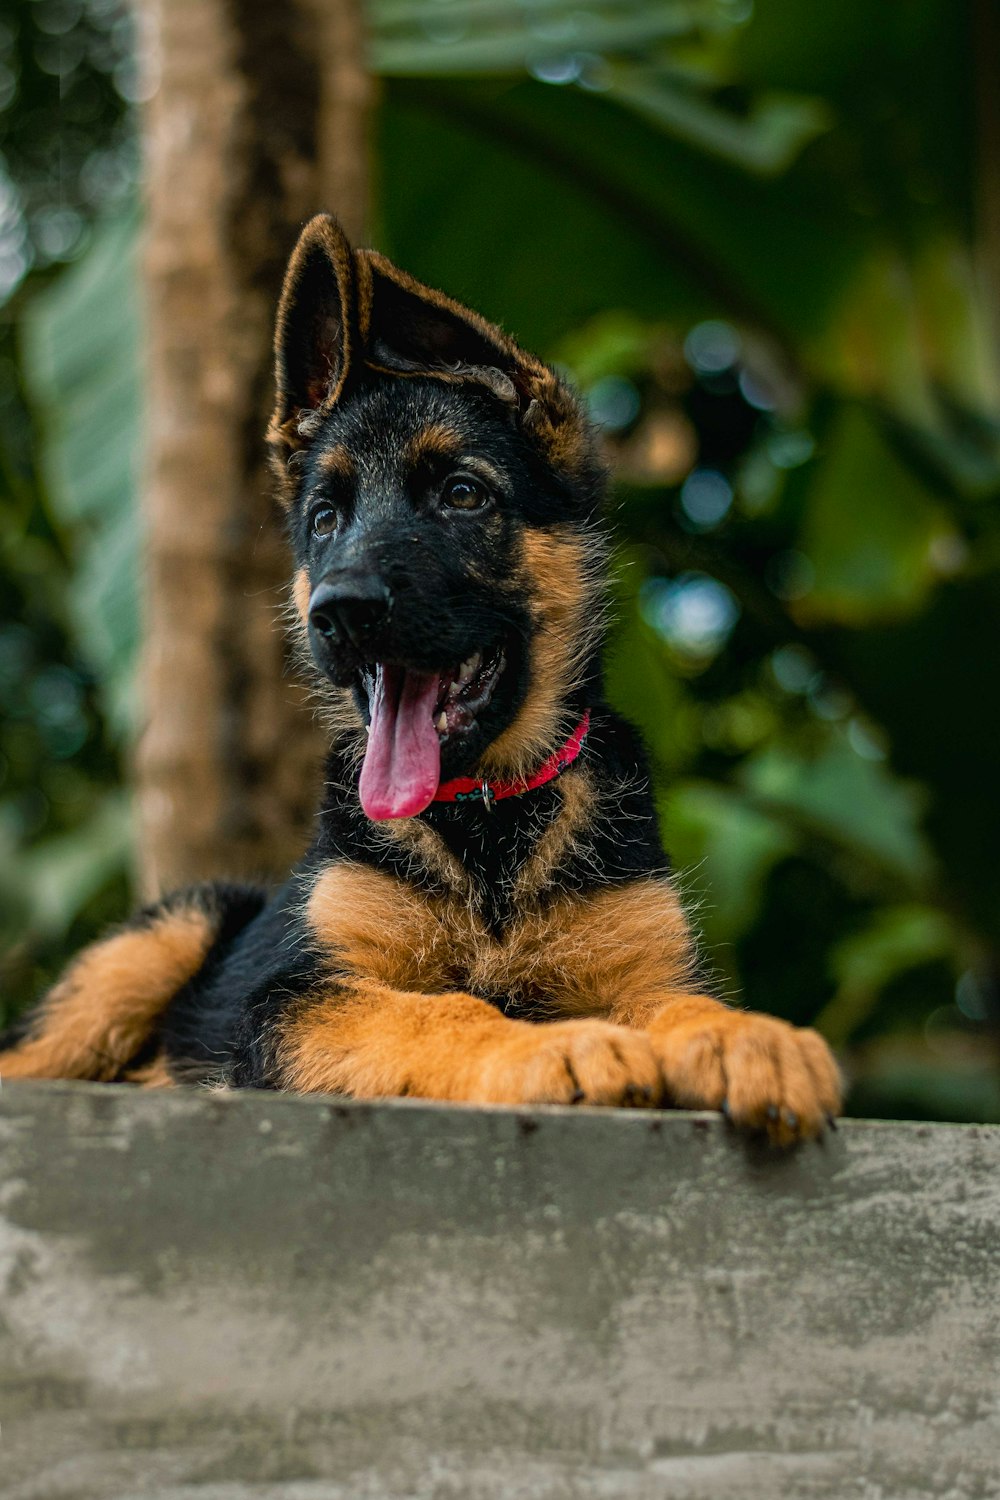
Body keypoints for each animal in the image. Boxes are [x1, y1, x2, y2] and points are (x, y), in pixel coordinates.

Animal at [0, 214, 845, 1146]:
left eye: (463, 494)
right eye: (325, 520)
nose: (339, 611)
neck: (488, 820)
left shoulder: (640, 967)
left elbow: (682, 1004)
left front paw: (753, 1037)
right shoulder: (297, 998)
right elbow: (439, 1010)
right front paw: (550, 1048)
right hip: (167, 932)